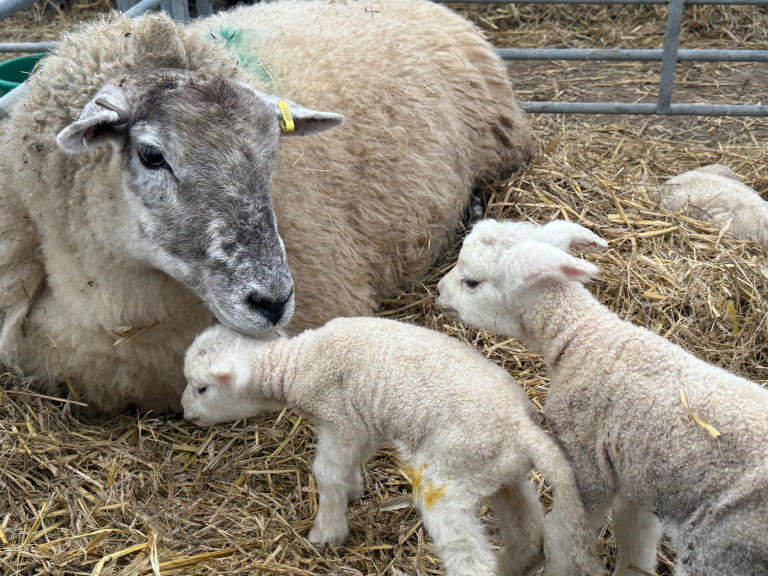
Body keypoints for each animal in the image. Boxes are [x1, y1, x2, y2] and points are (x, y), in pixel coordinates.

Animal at [182, 318, 605, 576]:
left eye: (202, 388)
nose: (185, 412)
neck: (297, 365)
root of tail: (523, 428)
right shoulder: (360, 423)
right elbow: (350, 465)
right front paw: (354, 490)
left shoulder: (339, 418)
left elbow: (327, 474)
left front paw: (327, 533)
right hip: (496, 471)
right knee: (527, 531)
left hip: (451, 475)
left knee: (470, 558)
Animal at [436, 218, 768, 576]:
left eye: (471, 282)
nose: (438, 290)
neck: (584, 336)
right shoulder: (637, 471)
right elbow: (634, 532)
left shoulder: (586, 458)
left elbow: (563, 538)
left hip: (722, 550)